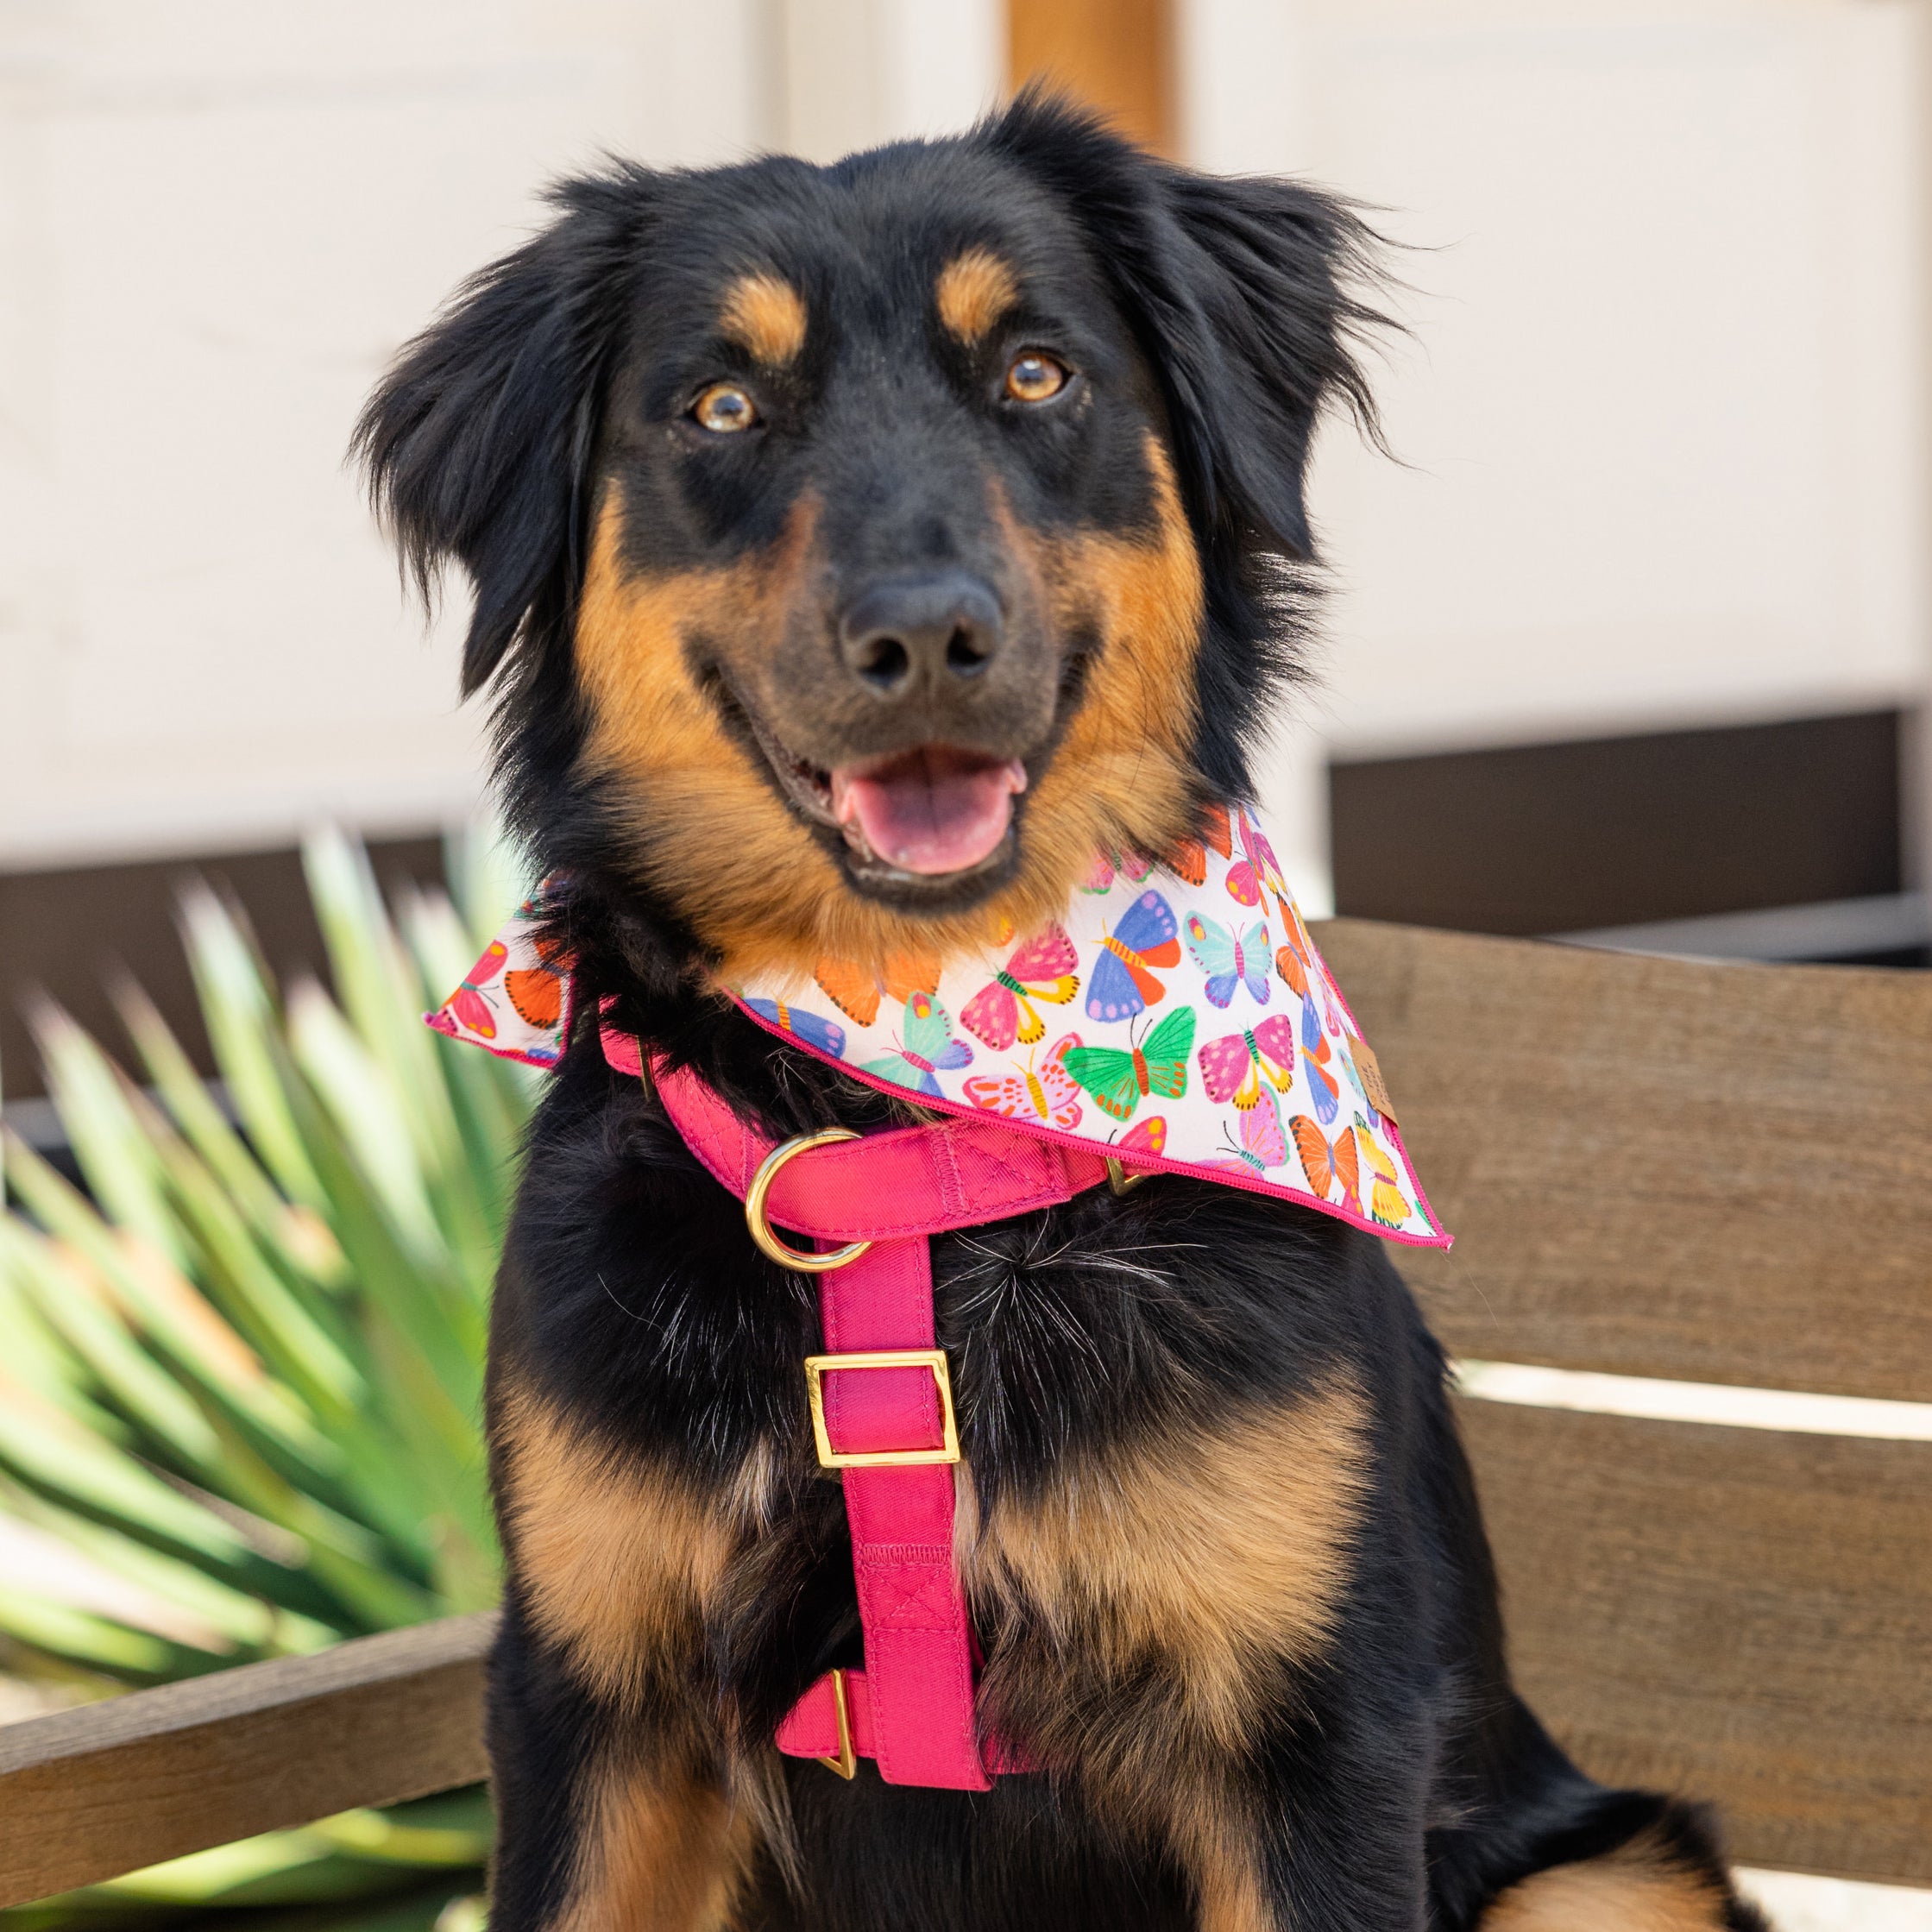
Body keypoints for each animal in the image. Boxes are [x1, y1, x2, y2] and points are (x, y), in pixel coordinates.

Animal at [355, 91, 1769, 1932]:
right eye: (720, 405)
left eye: (1035, 372)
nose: (923, 634)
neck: (911, 1120)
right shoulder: (593, 1708)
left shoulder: (1310, 1736)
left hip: (1605, 1866)